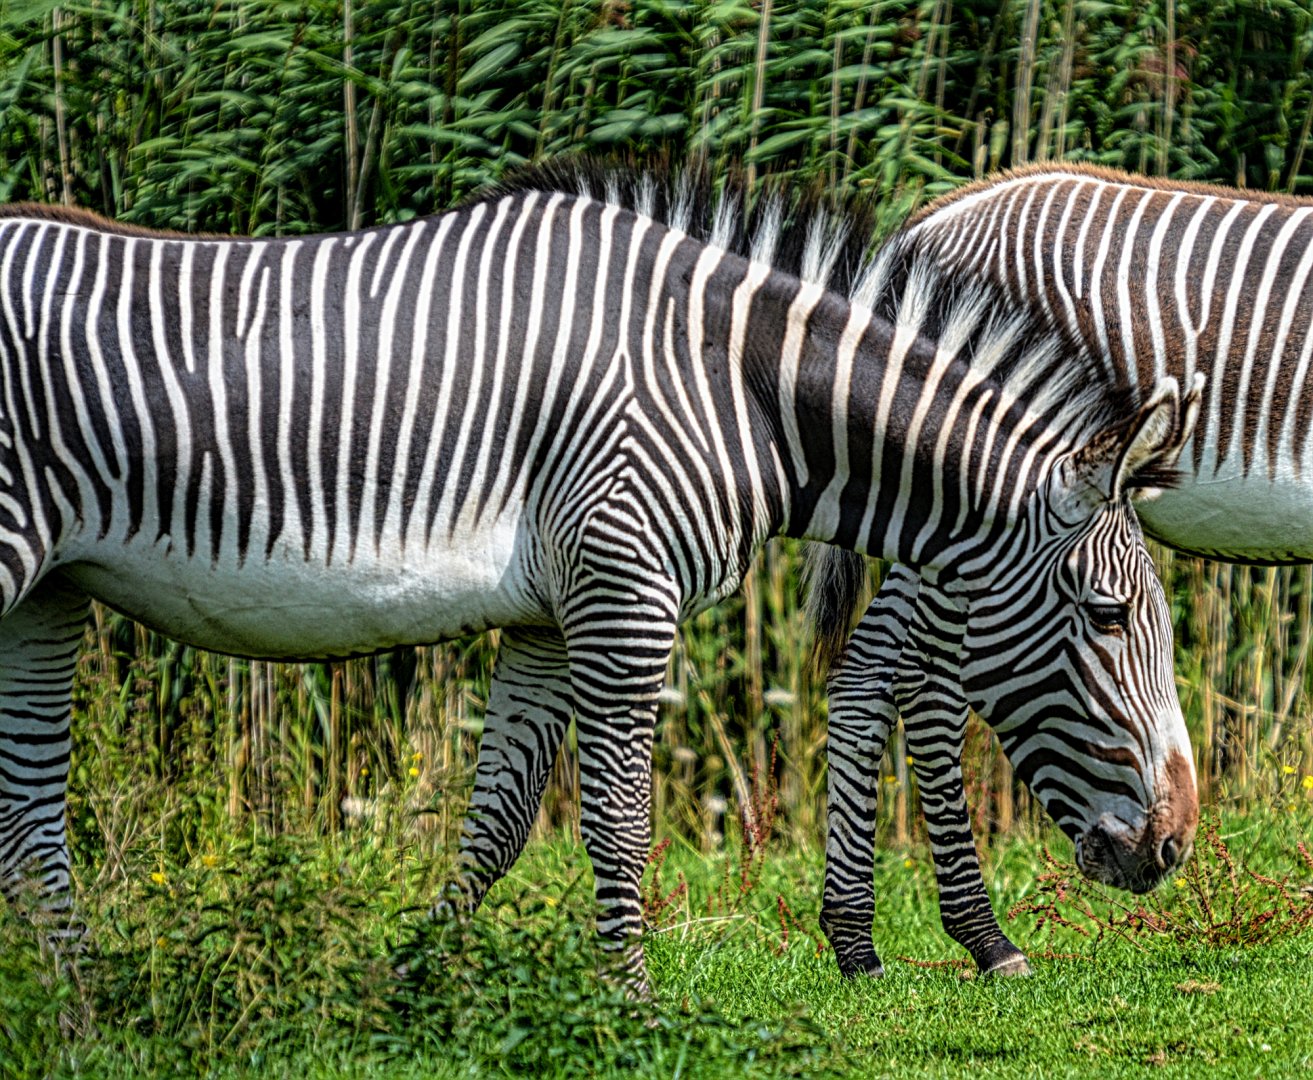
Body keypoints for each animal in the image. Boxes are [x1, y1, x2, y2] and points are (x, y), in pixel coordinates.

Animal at [0, 163, 1197, 993]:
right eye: (1107, 617)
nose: (1174, 844)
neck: (736, 388)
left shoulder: (543, 615)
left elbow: (498, 821)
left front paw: (410, 986)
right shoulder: (623, 594)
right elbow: (618, 820)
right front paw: (629, 1003)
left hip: (47, 594)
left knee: (29, 820)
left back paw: (83, 1011)